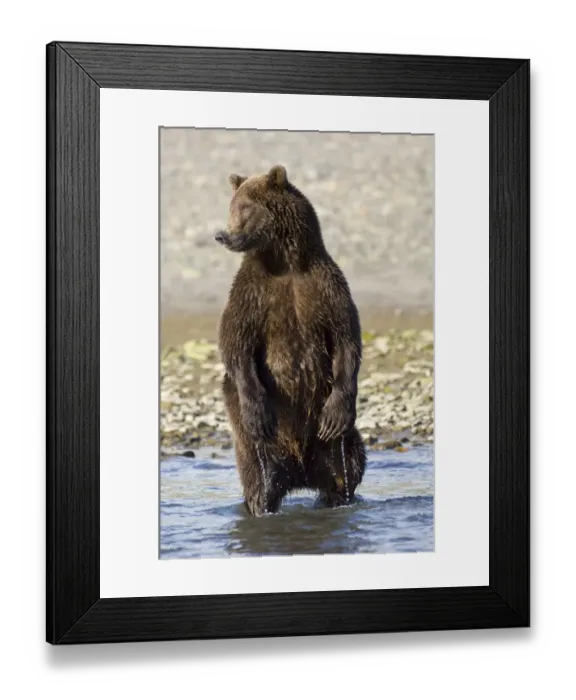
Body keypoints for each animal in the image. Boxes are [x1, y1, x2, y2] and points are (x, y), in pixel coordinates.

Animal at [215, 164, 366, 516]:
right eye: (232, 206)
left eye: (245, 207)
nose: (223, 235)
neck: (284, 261)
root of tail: (300, 472)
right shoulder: (252, 295)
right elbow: (236, 344)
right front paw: (258, 411)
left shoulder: (325, 288)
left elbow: (346, 340)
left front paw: (335, 414)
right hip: (253, 445)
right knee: (256, 473)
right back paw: (261, 501)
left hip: (332, 447)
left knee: (350, 464)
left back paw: (338, 496)